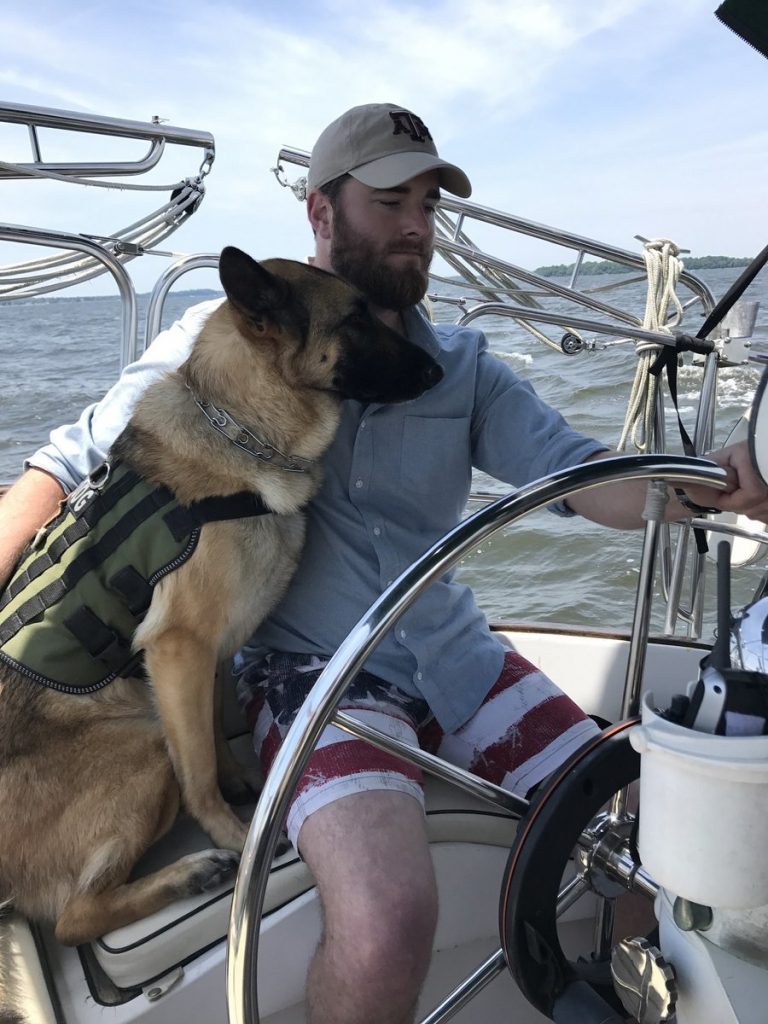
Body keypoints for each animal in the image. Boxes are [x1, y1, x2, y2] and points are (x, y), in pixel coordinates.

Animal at [0, 245, 444, 942]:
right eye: (355, 318)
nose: (437, 369)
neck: (241, 428)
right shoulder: (179, 650)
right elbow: (198, 772)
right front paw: (237, 836)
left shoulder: (208, 654)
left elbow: (209, 732)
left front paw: (243, 784)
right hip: (144, 742)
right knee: (75, 918)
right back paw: (190, 872)